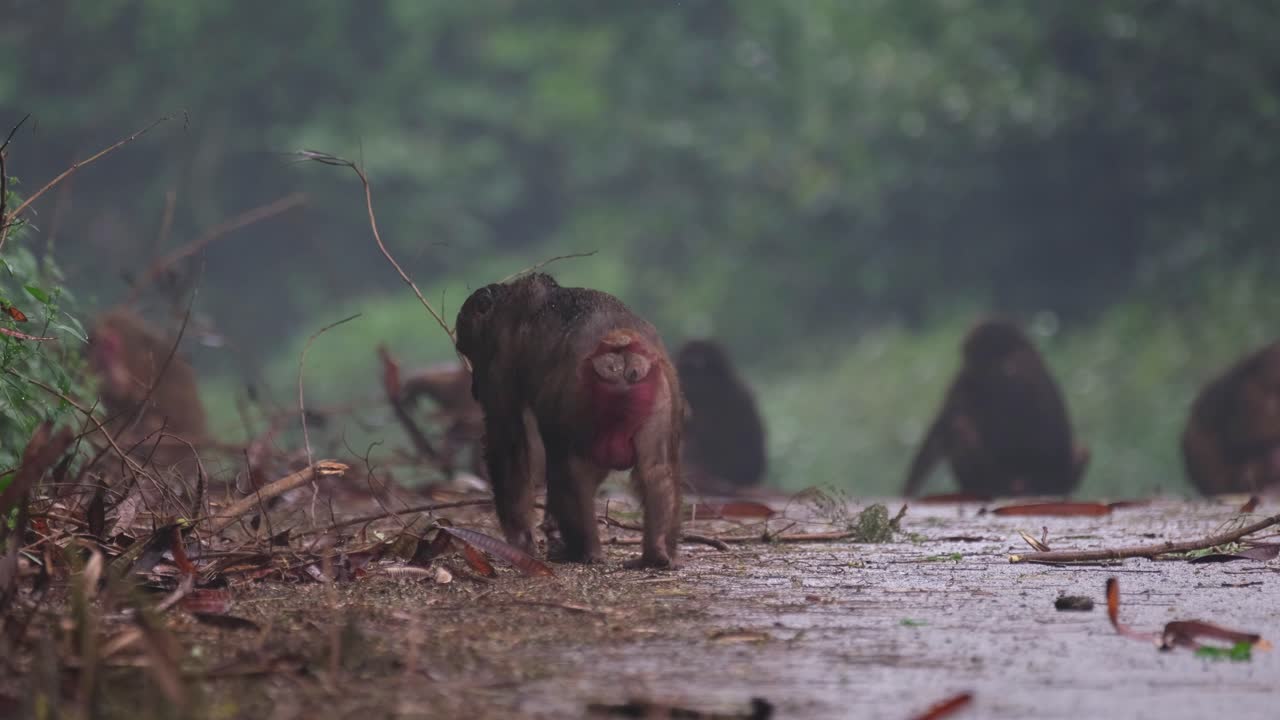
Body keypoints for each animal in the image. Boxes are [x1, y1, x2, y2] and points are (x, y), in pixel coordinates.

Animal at [455, 272, 684, 569]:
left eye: (467, 348)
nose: (473, 384)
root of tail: (619, 348)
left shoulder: (499, 363)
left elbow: (507, 440)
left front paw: (521, 542)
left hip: (577, 392)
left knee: (569, 468)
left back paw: (584, 550)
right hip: (656, 389)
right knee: (657, 471)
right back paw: (656, 553)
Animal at [903, 319, 1088, 498]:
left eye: (969, 355)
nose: (965, 364)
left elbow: (946, 422)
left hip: (996, 478)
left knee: (957, 428)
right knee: (1082, 450)